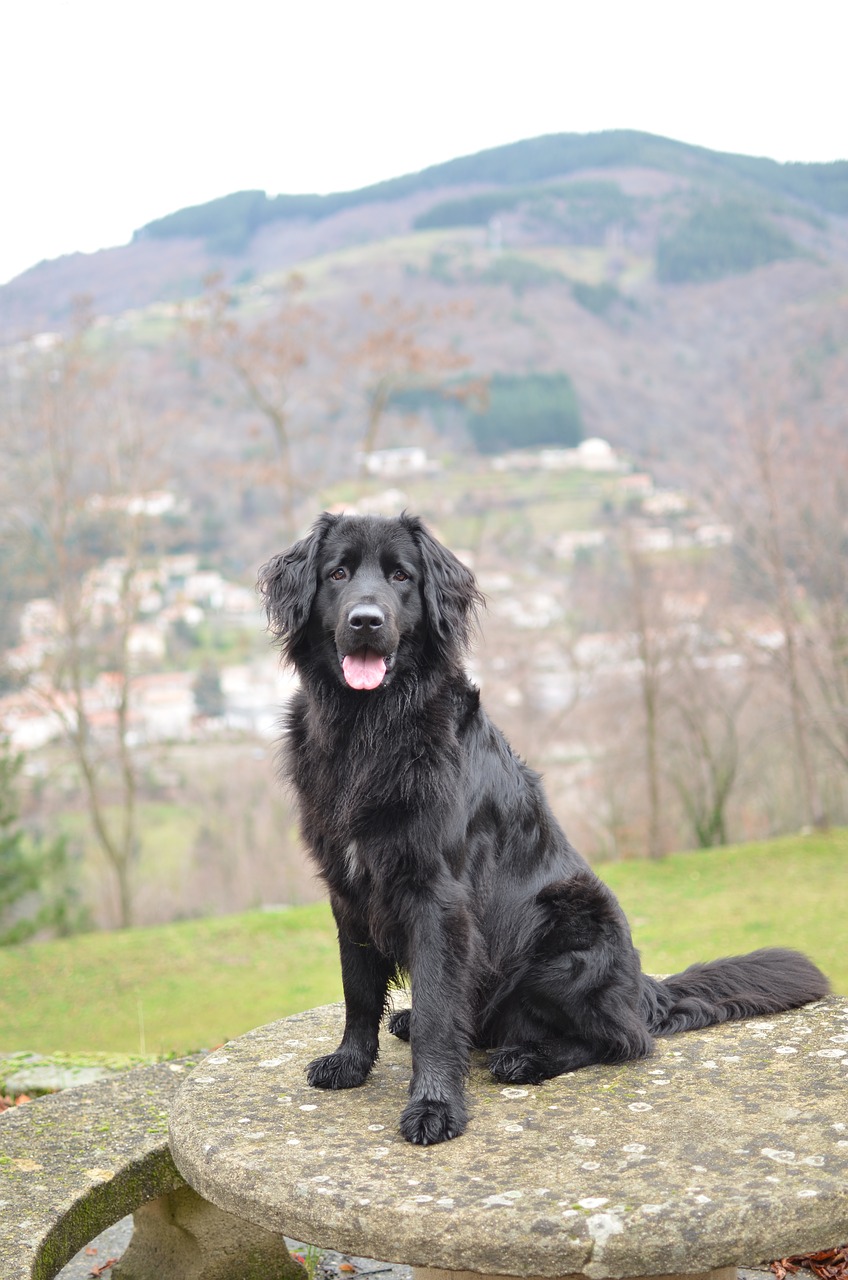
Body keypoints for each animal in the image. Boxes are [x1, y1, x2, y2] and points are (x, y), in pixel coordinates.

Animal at [257, 514, 830, 1146]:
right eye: (337, 574)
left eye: (401, 577)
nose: (365, 620)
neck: (371, 727)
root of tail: (642, 989)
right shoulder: (348, 888)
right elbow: (358, 990)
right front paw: (351, 1063)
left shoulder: (438, 896)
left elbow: (438, 1012)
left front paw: (434, 1106)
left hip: (571, 933)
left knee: (623, 1040)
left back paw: (528, 1058)